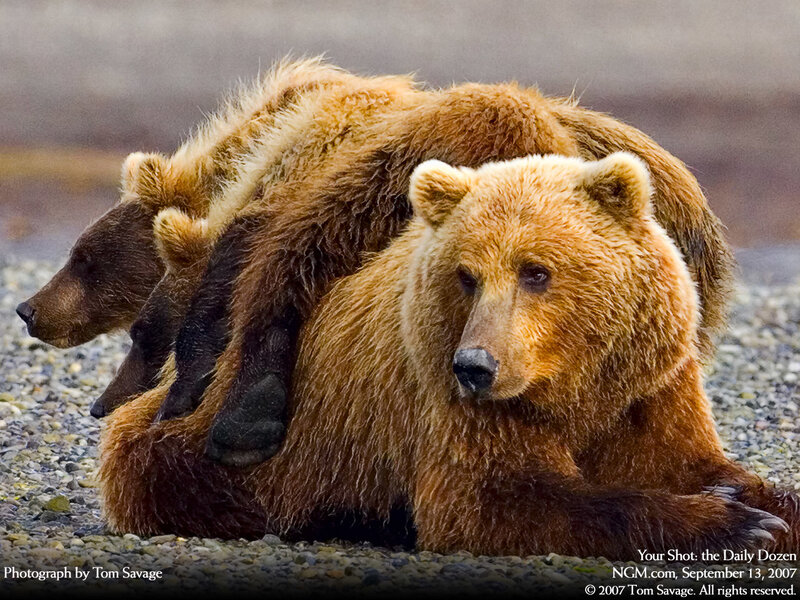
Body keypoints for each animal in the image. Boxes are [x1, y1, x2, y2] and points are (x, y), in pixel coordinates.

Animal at [99, 153, 797, 559]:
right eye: (467, 275)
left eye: (536, 271)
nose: (476, 366)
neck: (572, 387)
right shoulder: (448, 398)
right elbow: (494, 499)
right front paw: (737, 523)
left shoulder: (647, 385)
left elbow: (692, 463)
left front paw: (764, 509)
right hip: (241, 441)